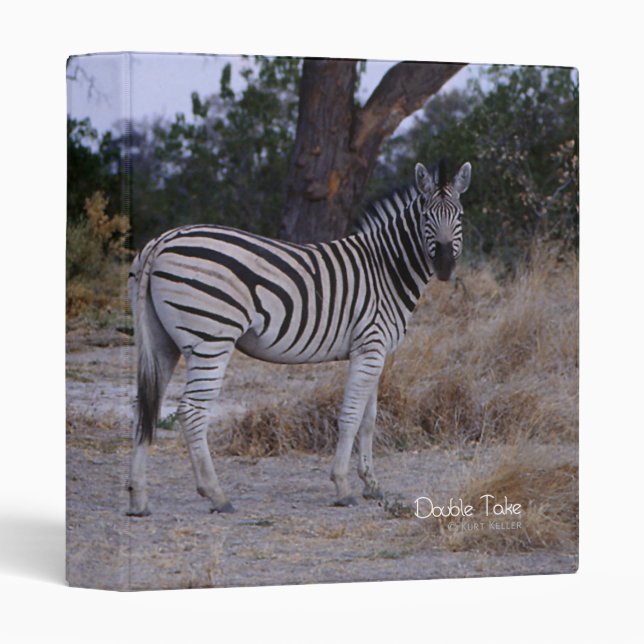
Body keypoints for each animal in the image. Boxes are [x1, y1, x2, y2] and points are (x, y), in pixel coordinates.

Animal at [127, 160, 471, 515]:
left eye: (459, 216)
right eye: (426, 216)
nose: (445, 267)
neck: (385, 269)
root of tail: (162, 241)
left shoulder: (377, 352)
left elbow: (369, 418)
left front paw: (372, 484)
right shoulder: (370, 347)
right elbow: (351, 416)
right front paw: (343, 486)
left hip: (161, 342)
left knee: (144, 405)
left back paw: (139, 498)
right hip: (211, 339)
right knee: (191, 410)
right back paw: (216, 495)